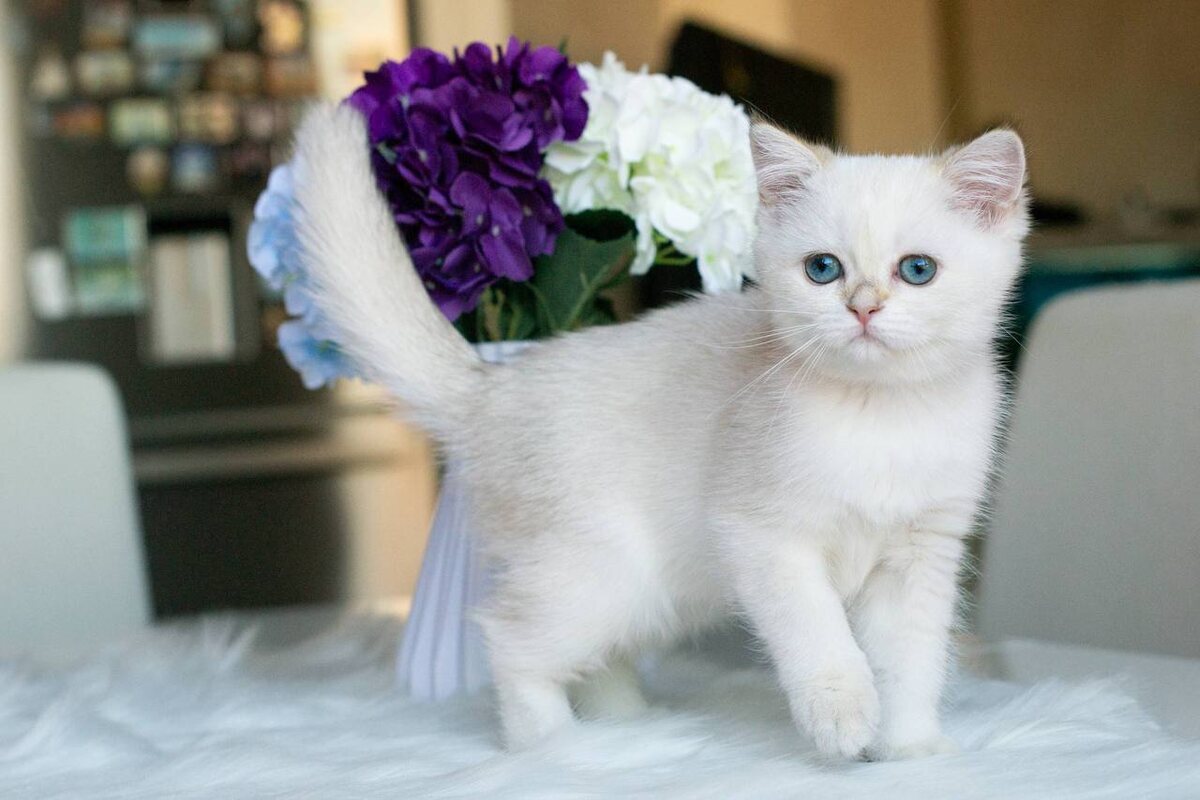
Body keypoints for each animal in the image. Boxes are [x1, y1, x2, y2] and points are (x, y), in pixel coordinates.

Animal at [291, 104, 1029, 760]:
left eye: (917, 270)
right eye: (823, 269)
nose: (863, 309)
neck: (879, 415)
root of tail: (493, 387)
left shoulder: (922, 555)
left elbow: (912, 661)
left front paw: (909, 749)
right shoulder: (761, 535)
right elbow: (817, 633)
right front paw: (843, 717)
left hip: (643, 595)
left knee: (588, 656)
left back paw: (626, 722)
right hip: (605, 572)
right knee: (509, 638)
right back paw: (555, 747)